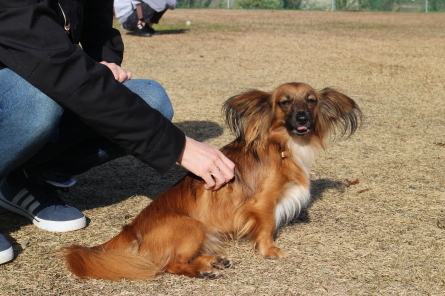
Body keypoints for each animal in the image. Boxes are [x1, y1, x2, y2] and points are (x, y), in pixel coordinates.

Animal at [62, 82, 360, 280]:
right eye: (284, 102)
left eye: (311, 101)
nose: (302, 118)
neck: (282, 146)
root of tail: (132, 228)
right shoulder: (262, 202)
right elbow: (266, 227)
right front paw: (270, 250)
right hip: (192, 226)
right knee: (170, 265)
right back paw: (202, 270)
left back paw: (212, 261)